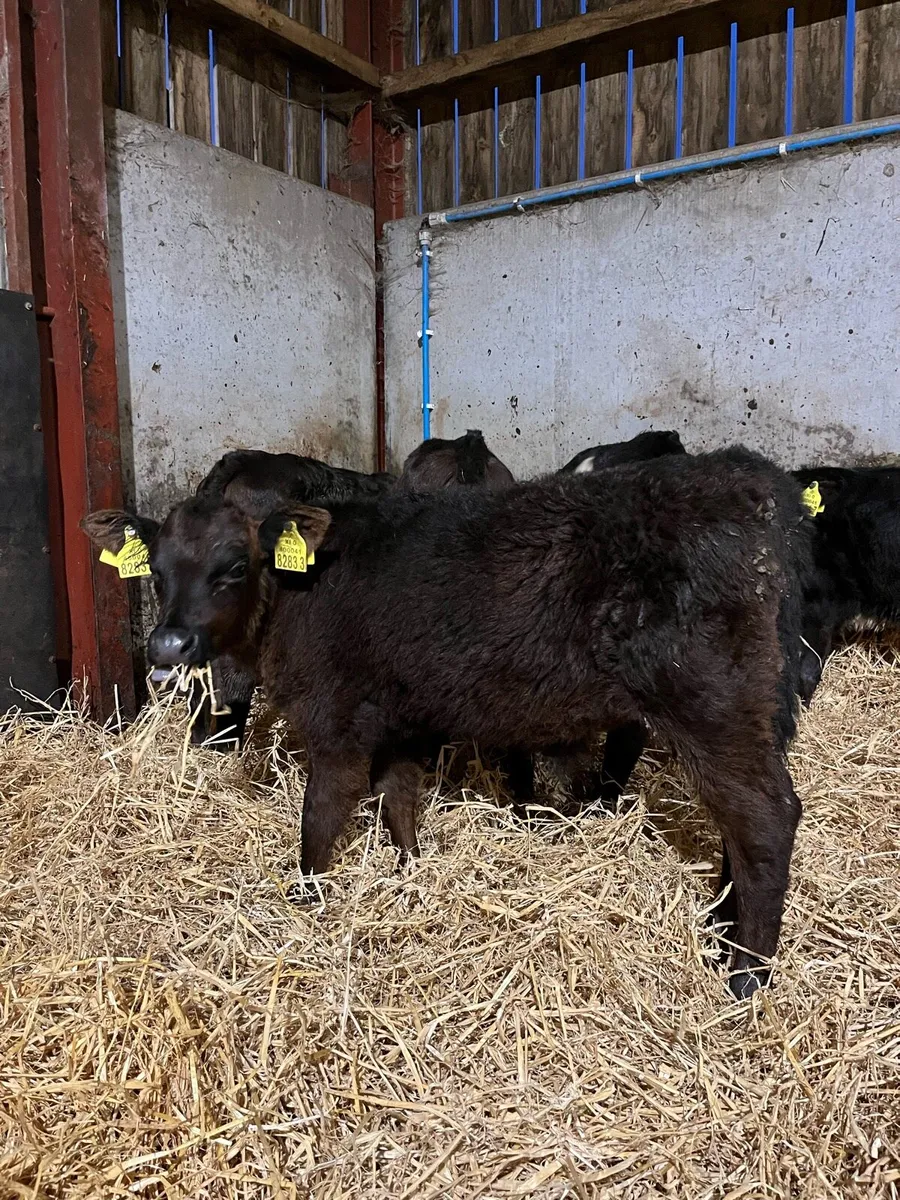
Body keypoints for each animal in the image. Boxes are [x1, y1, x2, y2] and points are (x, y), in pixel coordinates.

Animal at [83, 447, 814, 1000]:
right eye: (155, 569)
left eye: (235, 566)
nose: (168, 644)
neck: (301, 591)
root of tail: (746, 482)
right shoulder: (399, 717)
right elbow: (398, 799)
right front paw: (410, 875)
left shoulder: (336, 717)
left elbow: (322, 814)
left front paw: (308, 899)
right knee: (738, 826)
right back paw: (720, 934)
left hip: (710, 703)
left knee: (765, 818)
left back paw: (747, 977)